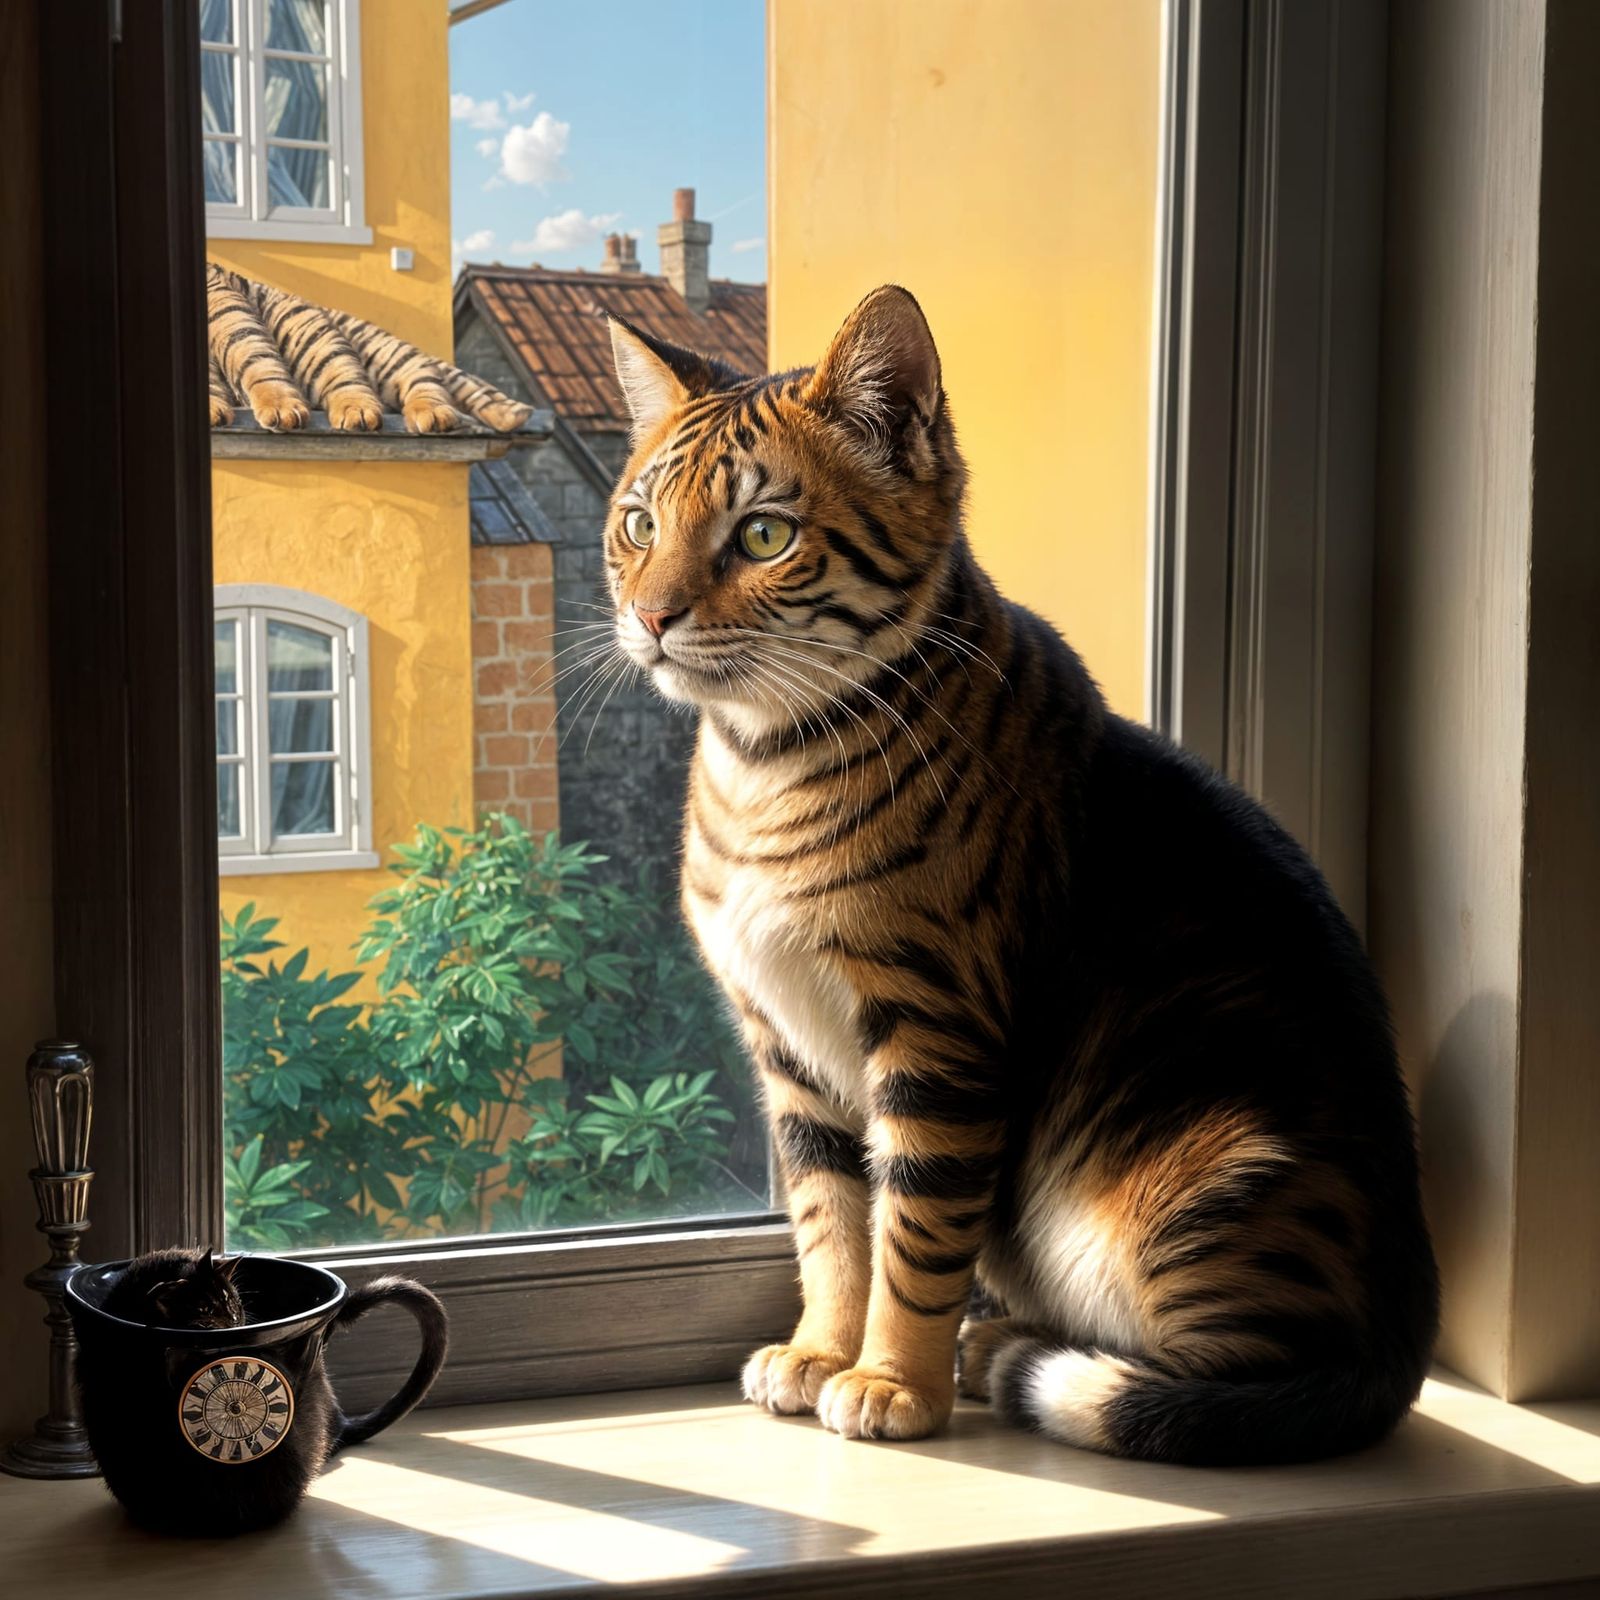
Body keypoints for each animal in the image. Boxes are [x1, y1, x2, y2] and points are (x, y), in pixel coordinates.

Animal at [595, 285, 1439, 1465]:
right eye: (639, 524)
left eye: (763, 535)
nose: (651, 618)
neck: (765, 767)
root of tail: (1403, 1340)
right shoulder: (789, 1055)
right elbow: (828, 1225)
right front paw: (820, 1350)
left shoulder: (938, 1037)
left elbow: (912, 1234)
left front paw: (890, 1381)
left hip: (1207, 1176)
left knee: (1227, 1383)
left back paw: (1012, 1355)